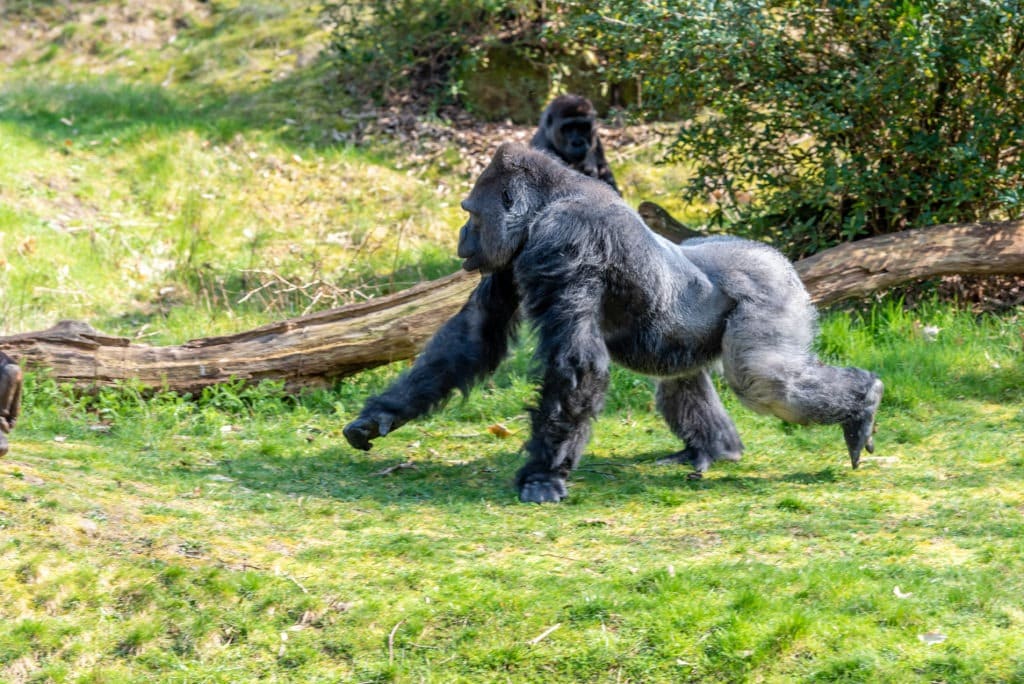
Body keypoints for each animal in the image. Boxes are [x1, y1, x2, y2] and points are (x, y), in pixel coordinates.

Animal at [342, 141, 880, 501]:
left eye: (470, 213)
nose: (460, 236)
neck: (552, 197)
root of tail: (778, 258)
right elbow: (472, 337)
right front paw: (380, 417)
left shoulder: (565, 240)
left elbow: (575, 363)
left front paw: (543, 476)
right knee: (684, 382)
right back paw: (714, 449)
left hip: (772, 291)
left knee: (762, 380)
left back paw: (863, 401)